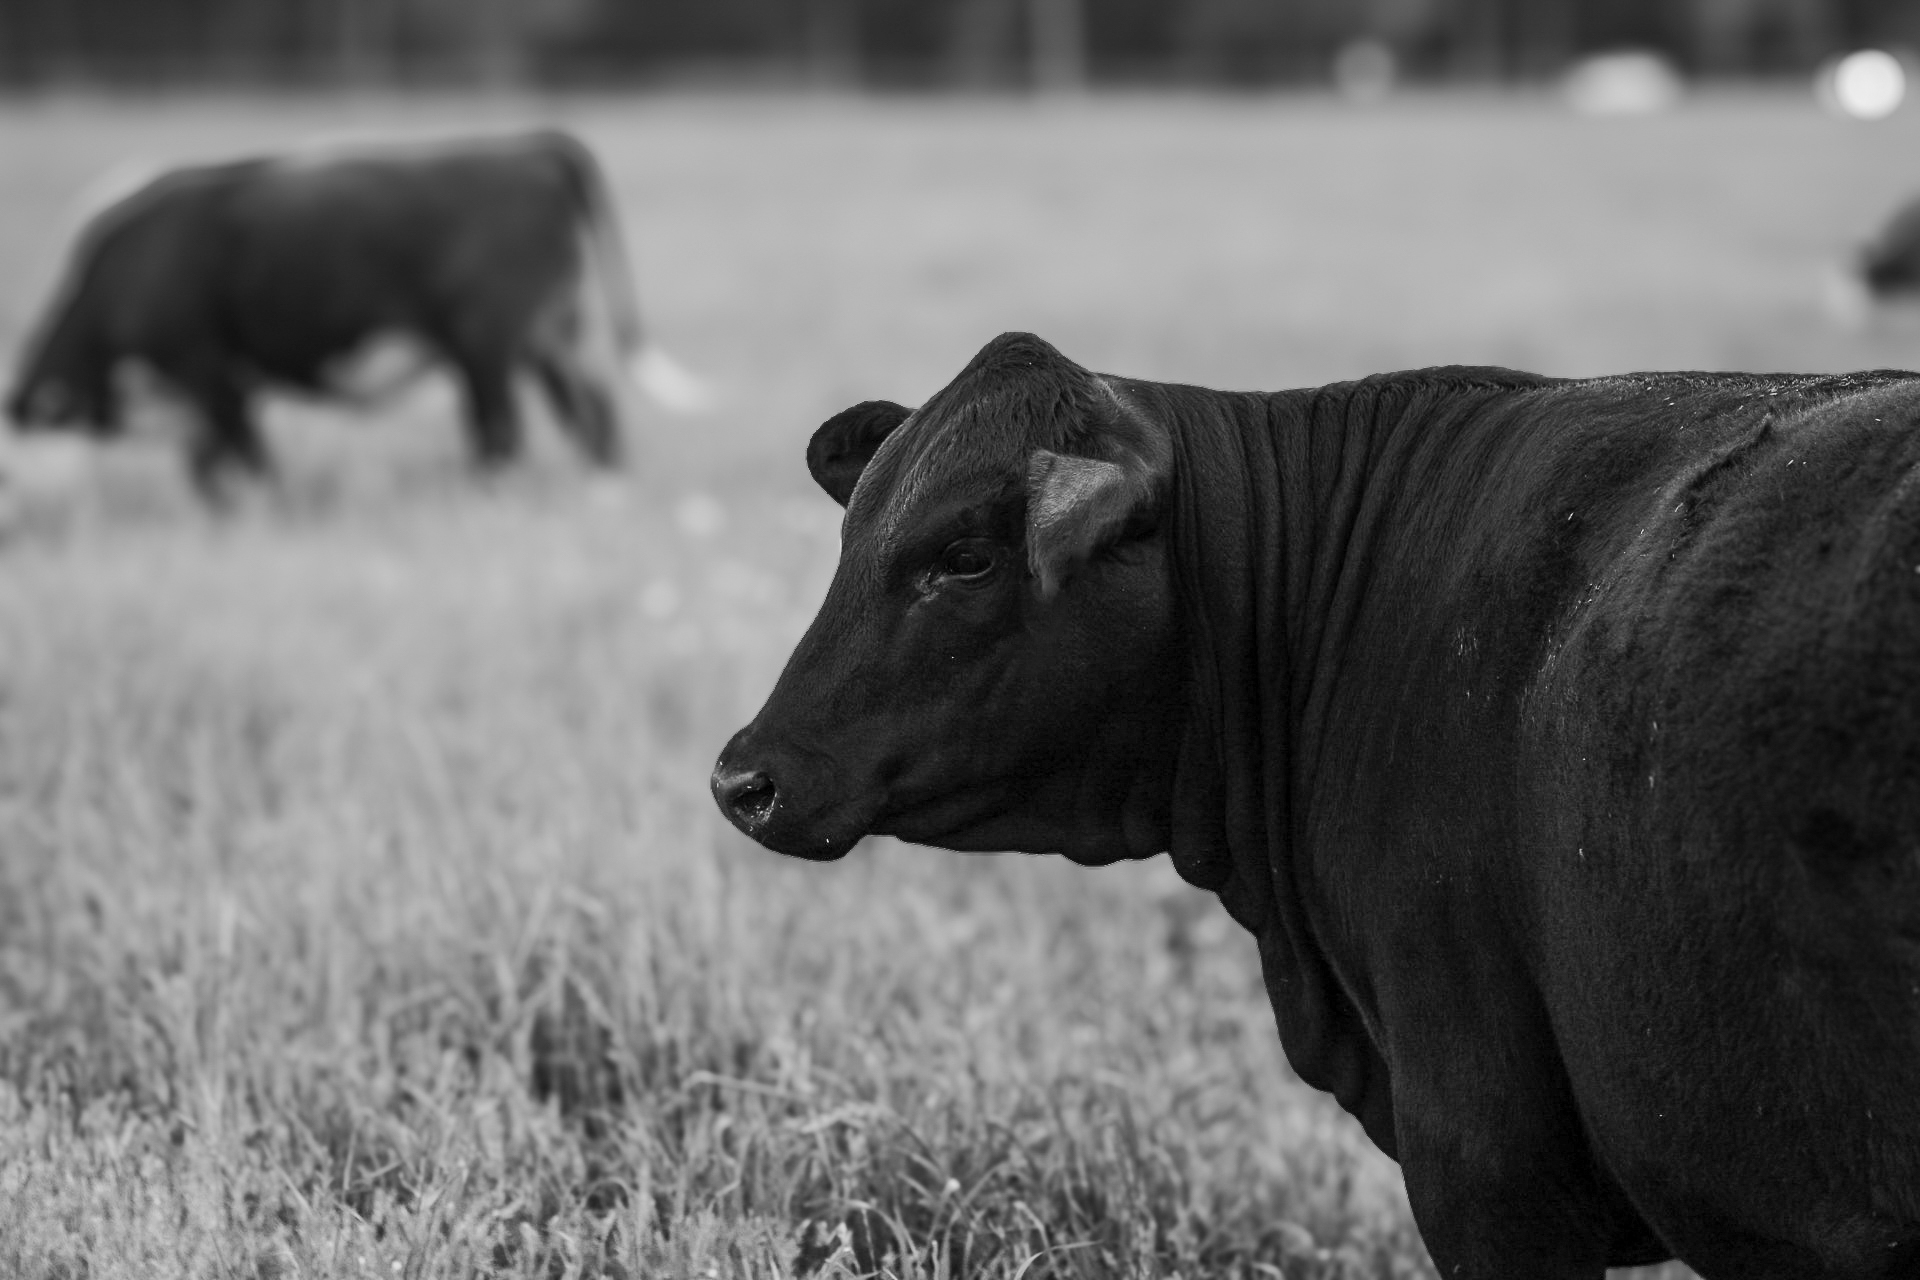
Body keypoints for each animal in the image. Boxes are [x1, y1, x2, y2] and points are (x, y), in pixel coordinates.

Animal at [5, 130, 662, 501]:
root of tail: (531, 148)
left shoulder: (204, 365)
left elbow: (246, 455)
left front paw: (270, 510)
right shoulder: (215, 386)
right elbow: (210, 461)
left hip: (488, 338)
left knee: (500, 427)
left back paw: (486, 495)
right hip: (549, 334)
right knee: (590, 412)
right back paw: (601, 489)